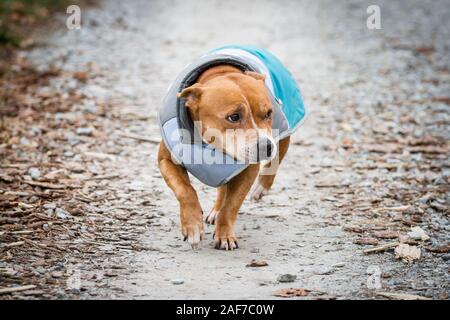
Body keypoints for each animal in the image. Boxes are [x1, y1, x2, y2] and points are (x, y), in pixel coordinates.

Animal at [156, 45, 306, 250]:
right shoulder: (166, 160)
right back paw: (215, 210)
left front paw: (225, 234)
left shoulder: (248, 170)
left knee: (278, 156)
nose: (266, 146)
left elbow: (232, 205)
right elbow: (185, 190)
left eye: (268, 113)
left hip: (284, 129)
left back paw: (261, 187)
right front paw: (193, 226)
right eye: (234, 117)